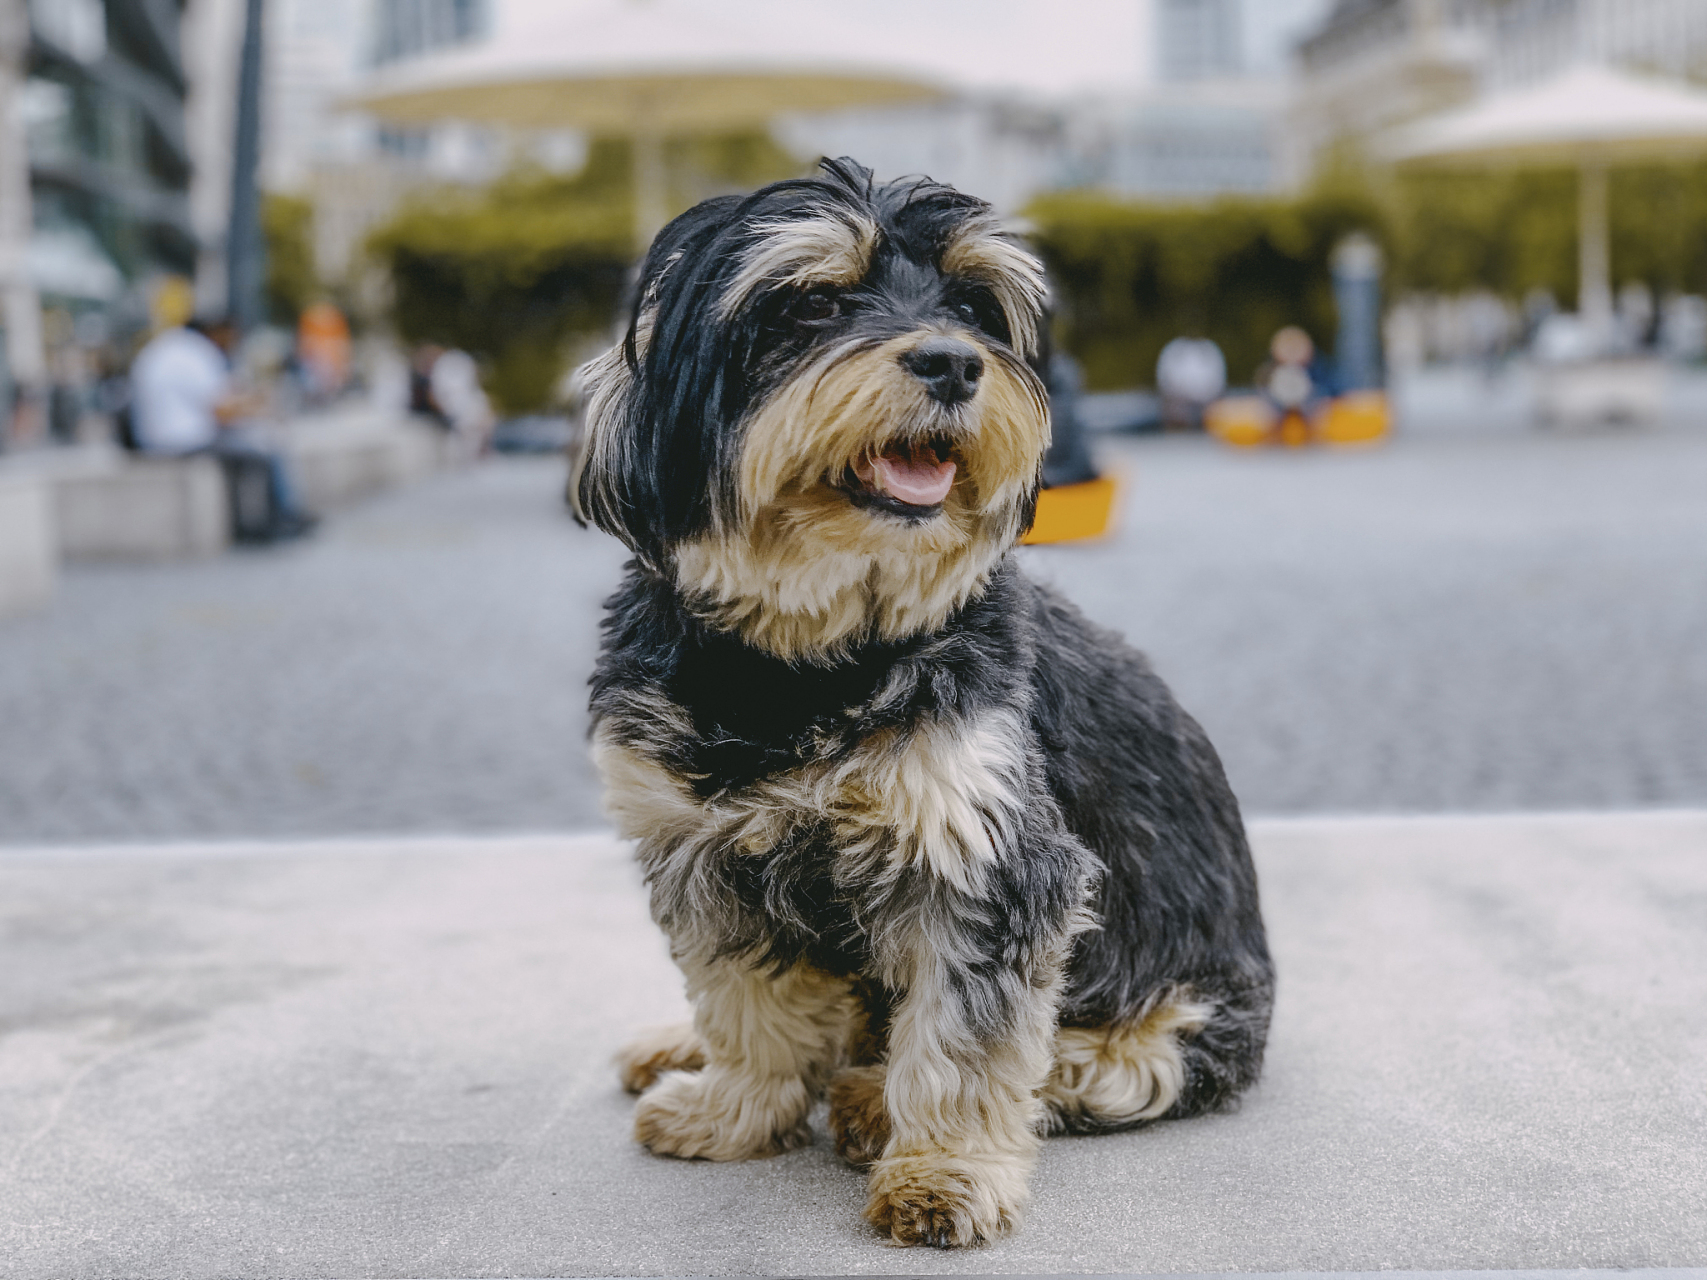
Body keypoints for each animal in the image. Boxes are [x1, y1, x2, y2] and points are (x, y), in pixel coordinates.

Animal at [566, 155, 1276, 1249]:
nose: (951, 362)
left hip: (1182, 1020)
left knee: (1102, 1063)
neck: (806, 657)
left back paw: (875, 1097)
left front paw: (940, 1172)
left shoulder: (987, 859)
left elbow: (966, 1044)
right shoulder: (702, 855)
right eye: (813, 302)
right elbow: (744, 1004)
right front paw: (733, 1109)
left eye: (973, 306)